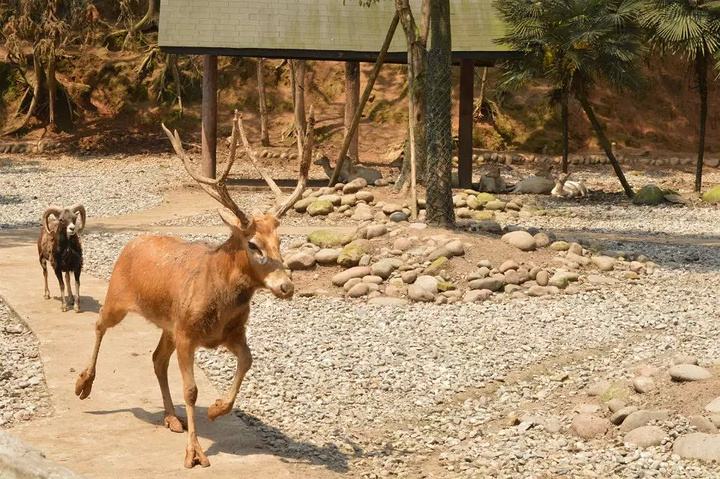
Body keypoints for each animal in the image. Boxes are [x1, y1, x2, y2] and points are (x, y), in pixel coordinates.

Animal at [73, 109, 316, 468]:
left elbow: (248, 361)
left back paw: (171, 418)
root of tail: (132, 243)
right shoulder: (188, 333)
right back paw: (84, 383)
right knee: (100, 323)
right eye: (253, 244)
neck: (219, 301)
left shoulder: (229, 333)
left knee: (156, 358)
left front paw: (216, 410)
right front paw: (195, 453)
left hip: (168, 323)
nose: (286, 286)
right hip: (118, 295)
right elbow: (191, 390)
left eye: (280, 241)